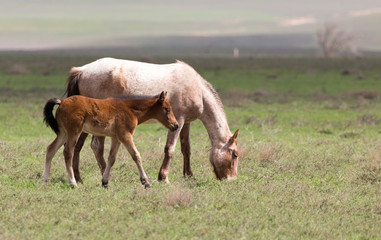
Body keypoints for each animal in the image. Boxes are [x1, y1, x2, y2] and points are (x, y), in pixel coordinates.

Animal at [42, 92, 179, 188]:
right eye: (167, 109)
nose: (176, 125)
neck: (130, 110)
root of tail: (62, 102)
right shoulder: (125, 135)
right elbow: (136, 155)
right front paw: (145, 182)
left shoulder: (116, 138)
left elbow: (111, 158)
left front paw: (104, 182)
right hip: (74, 132)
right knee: (67, 153)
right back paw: (72, 182)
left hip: (63, 133)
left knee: (50, 149)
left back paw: (45, 179)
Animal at [65, 57, 238, 182]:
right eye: (235, 154)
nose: (232, 179)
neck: (197, 89)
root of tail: (82, 70)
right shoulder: (179, 120)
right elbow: (170, 149)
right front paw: (164, 177)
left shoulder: (186, 123)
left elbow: (186, 148)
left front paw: (189, 175)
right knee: (96, 146)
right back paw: (105, 176)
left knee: (78, 146)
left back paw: (79, 178)